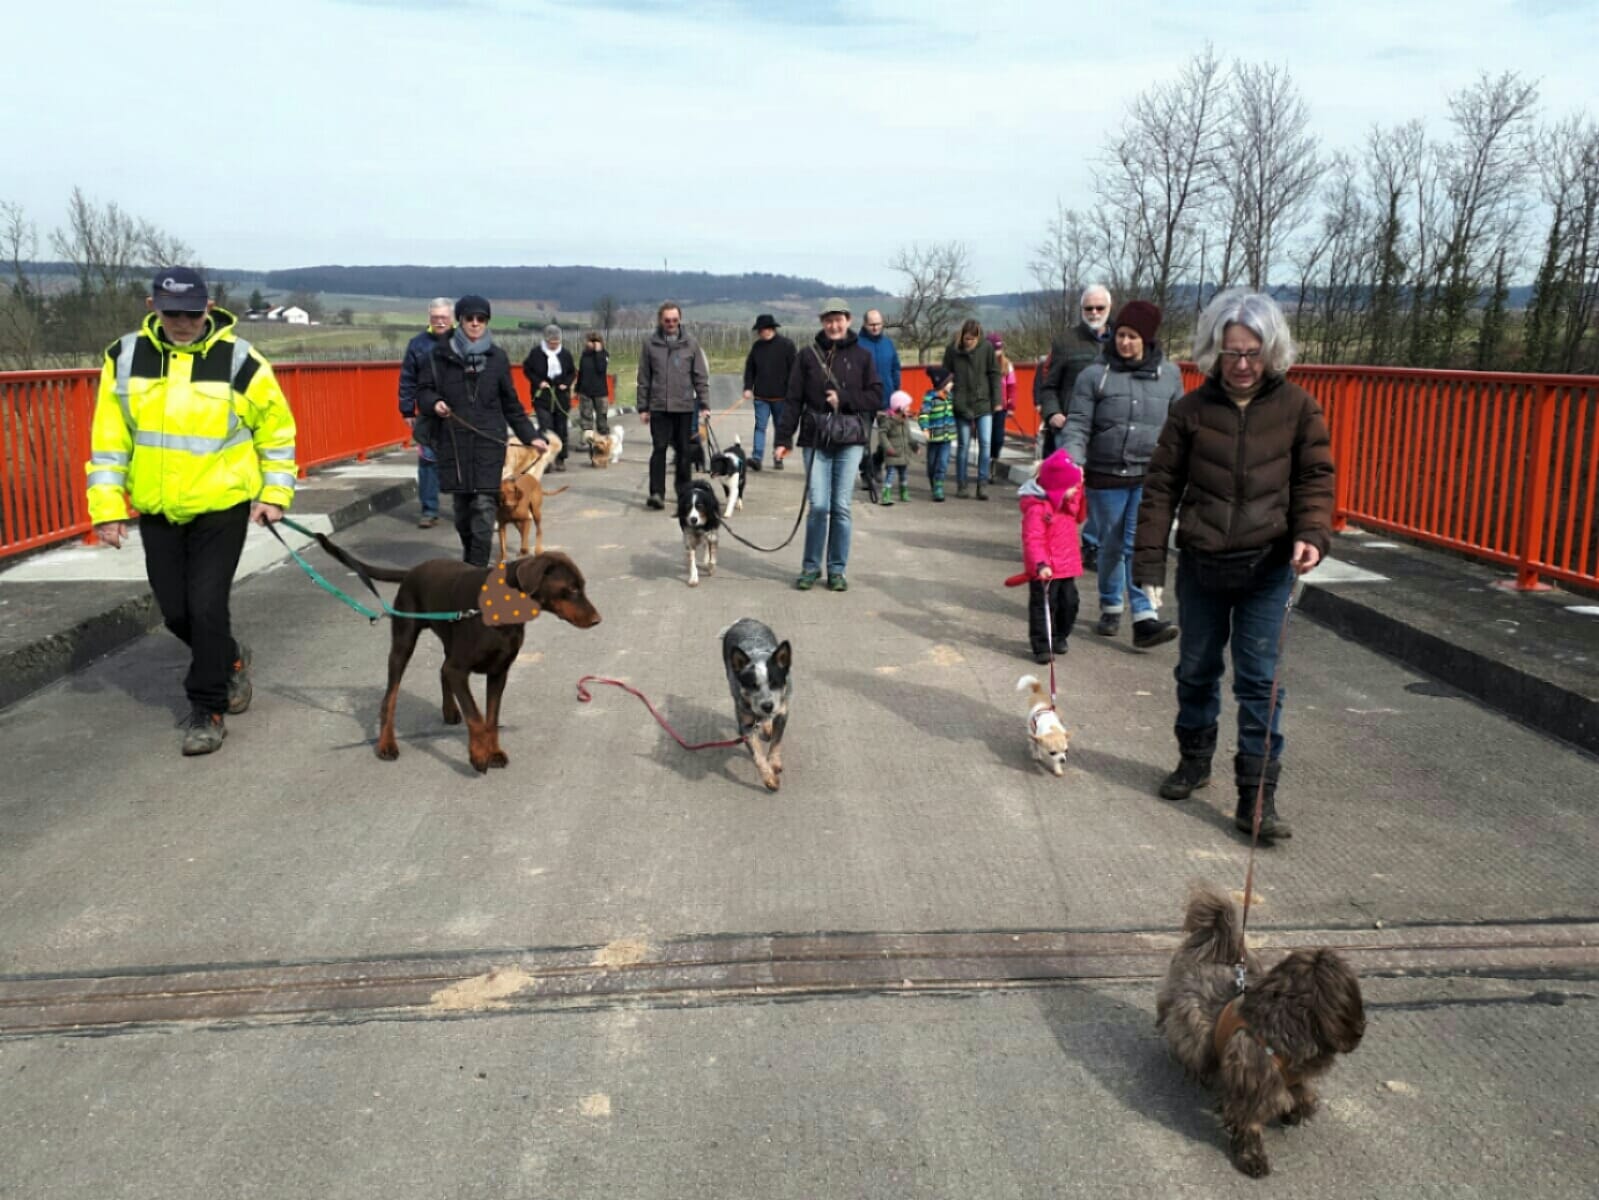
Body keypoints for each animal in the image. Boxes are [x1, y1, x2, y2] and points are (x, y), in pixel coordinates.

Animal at [313, 534, 601, 771]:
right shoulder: (460, 668)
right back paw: (386, 744)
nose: (598, 620)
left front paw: (493, 751)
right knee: (390, 698)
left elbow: (491, 717)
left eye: (583, 586)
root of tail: (411, 571)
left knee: (442, 671)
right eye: (572, 589)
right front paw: (478, 755)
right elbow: (476, 715)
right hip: (403, 642)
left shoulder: (499, 671)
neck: (503, 606)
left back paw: (449, 711)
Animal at [725, 620, 793, 800]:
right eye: (752, 685)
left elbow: (776, 741)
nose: (767, 706)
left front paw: (774, 762)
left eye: (775, 683)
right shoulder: (747, 726)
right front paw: (769, 779)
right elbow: (757, 756)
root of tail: (744, 620)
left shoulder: (782, 713)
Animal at [1157, 883, 1368, 1184]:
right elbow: (1250, 1123)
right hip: (1189, 1022)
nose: (1361, 1028)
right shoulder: (1254, 1087)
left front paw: (1296, 1111)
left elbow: (1304, 1097)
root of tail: (1213, 947)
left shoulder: (1290, 1077)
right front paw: (1252, 1157)